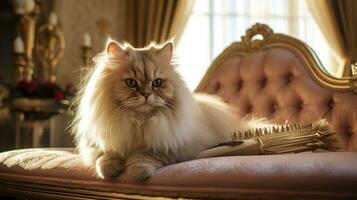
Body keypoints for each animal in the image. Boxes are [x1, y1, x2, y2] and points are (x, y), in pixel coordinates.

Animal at [71, 39, 268, 181]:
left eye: (157, 82)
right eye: (131, 83)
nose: (146, 94)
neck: (140, 122)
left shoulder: (172, 146)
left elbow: (146, 155)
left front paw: (137, 171)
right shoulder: (97, 143)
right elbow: (105, 155)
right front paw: (109, 169)